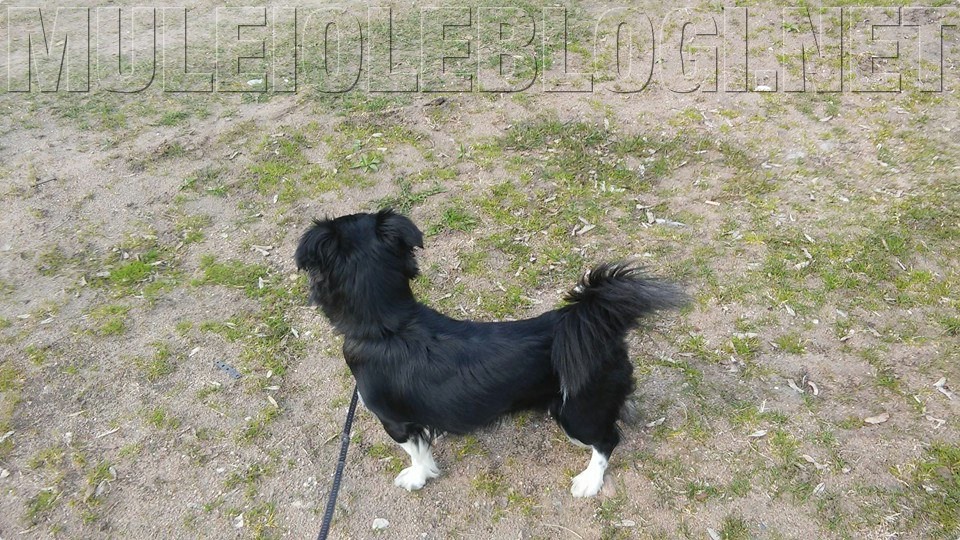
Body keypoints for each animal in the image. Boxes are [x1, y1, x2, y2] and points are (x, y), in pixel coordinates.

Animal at [295, 209, 686, 497]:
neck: (387, 326)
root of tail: (595, 319)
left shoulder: (396, 423)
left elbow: (417, 454)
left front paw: (417, 477)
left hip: (576, 413)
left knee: (607, 440)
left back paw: (589, 481)